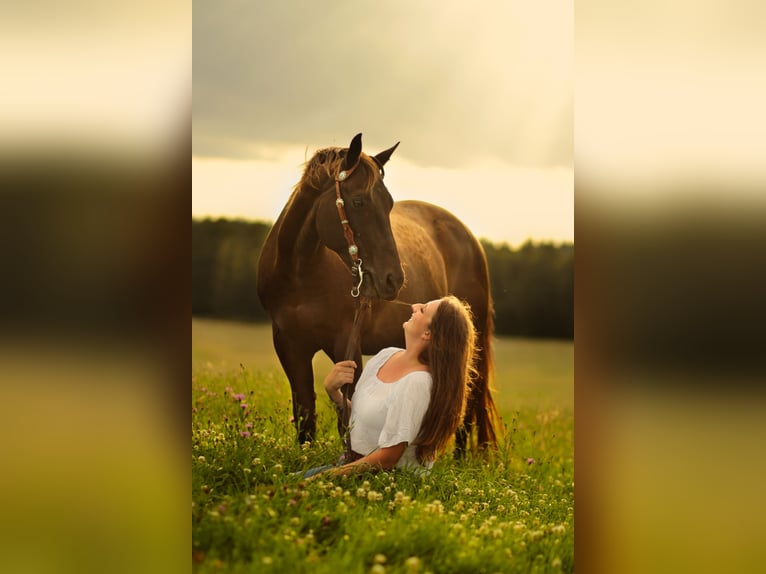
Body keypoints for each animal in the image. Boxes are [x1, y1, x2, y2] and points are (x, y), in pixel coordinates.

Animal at [257, 133, 499, 454]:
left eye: (389, 204)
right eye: (358, 201)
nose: (393, 279)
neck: (301, 274)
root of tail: (470, 238)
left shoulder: (346, 343)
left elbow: (348, 420)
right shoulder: (289, 346)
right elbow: (306, 416)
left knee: (466, 410)